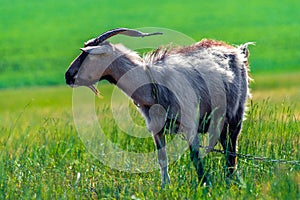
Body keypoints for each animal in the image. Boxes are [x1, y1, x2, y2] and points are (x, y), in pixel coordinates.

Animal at [65, 27, 253, 188]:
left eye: (86, 55)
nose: (68, 76)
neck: (152, 83)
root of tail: (238, 52)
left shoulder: (189, 124)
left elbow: (195, 157)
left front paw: (205, 184)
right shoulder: (156, 129)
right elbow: (162, 159)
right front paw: (165, 186)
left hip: (236, 115)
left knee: (231, 148)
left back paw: (231, 177)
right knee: (226, 145)